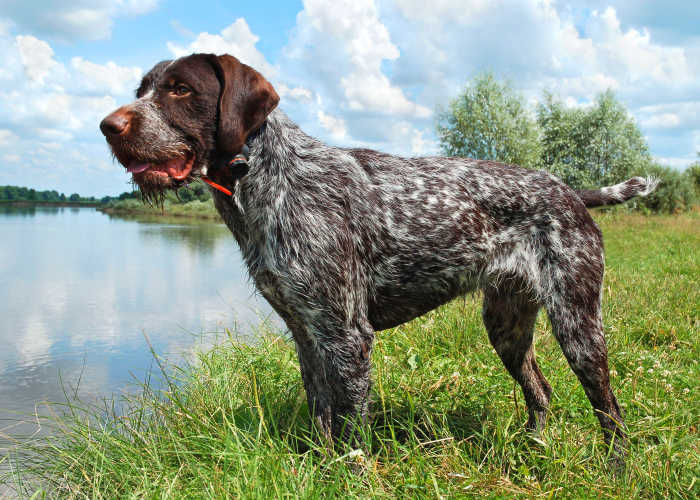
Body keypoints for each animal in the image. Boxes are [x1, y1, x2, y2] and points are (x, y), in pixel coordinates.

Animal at [101, 52, 660, 466]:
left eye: (180, 89)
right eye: (142, 89)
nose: (108, 125)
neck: (265, 179)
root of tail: (570, 192)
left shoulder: (347, 336)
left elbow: (350, 428)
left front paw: (347, 475)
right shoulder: (307, 334)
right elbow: (321, 415)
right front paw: (319, 469)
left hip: (578, 325)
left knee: (609, 410)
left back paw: (616, 467)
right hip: (506, 325)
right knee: (540, 391)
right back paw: (534, 448)